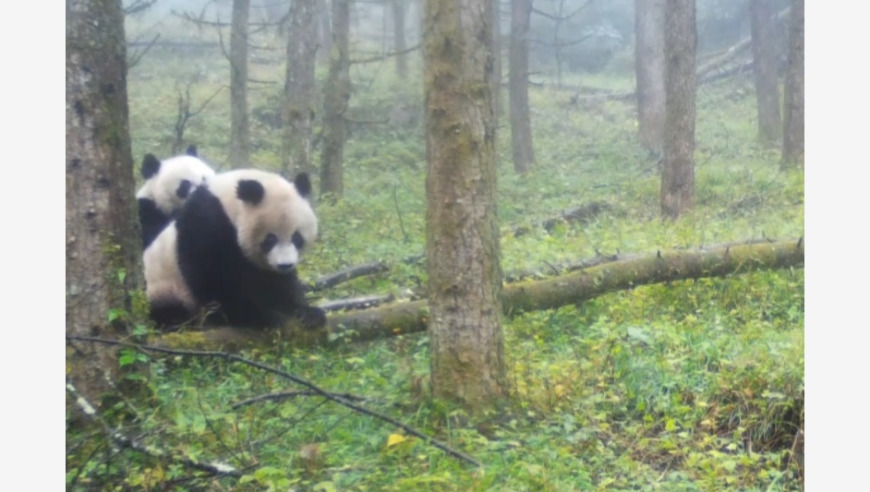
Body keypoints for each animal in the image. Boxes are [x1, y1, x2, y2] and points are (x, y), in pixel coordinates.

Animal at [144, 169, 328, 330]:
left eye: (297, 238)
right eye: (270, 239)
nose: (285, 265)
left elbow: (279, 282)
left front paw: (308, 313)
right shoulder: (206, 222)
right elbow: (211, 276)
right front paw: (258, 316)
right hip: (167, 288)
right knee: (170, 311)